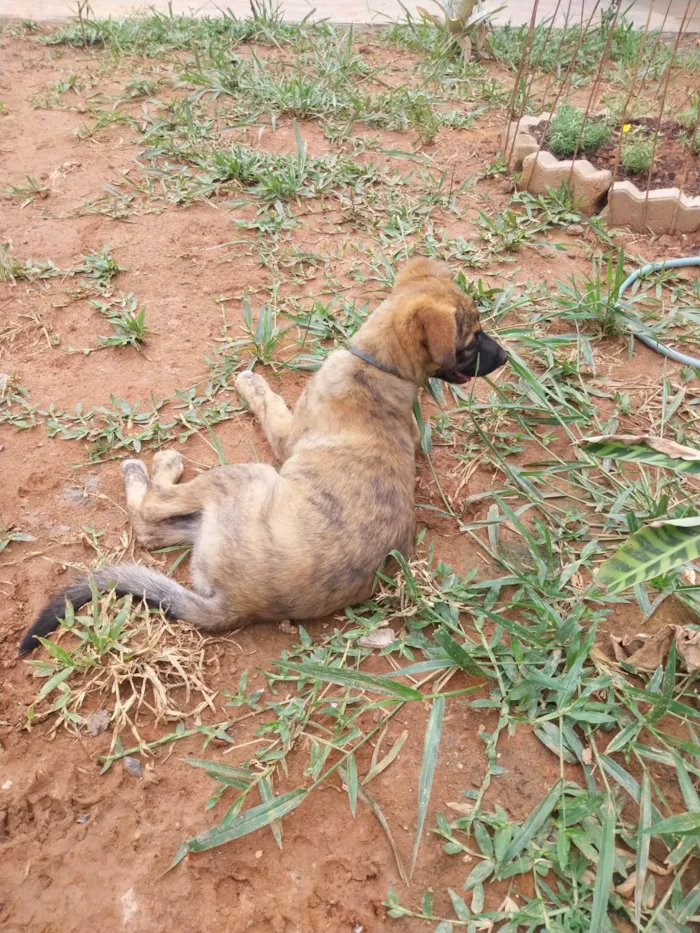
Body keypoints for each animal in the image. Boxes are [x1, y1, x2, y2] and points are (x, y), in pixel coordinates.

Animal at [19, 256, 506, 656]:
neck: (379, 368)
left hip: (244, 477)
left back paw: (156, 467)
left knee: (152, 510)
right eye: (474, 338)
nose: (504, 358)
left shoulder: (286, 436)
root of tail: (238, 605)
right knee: (152, 533)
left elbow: (269, 402)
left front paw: (250, 383)